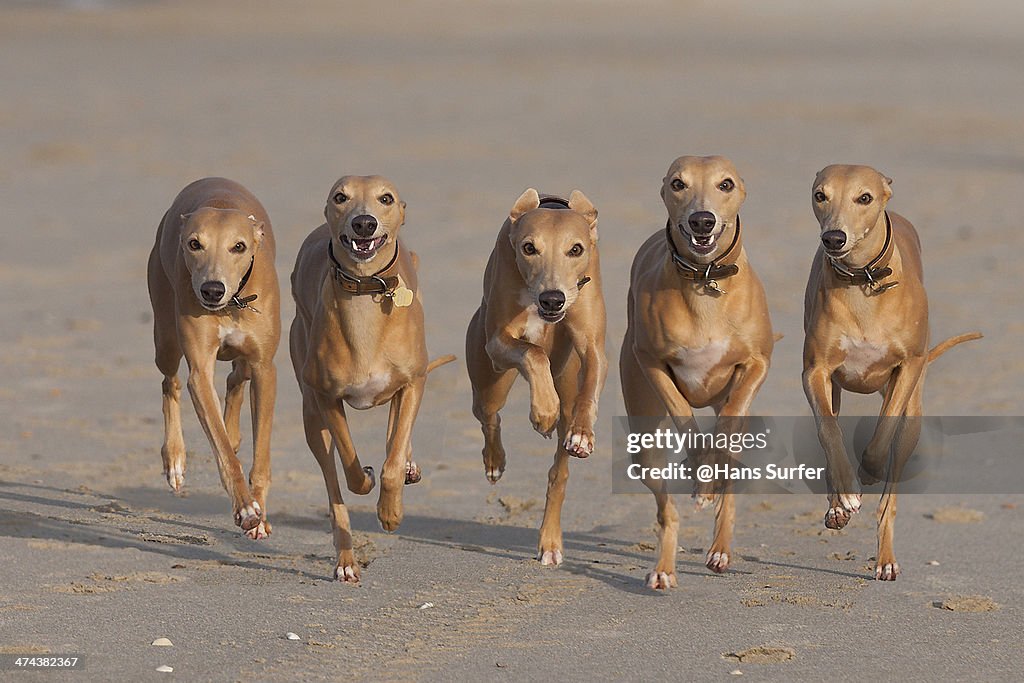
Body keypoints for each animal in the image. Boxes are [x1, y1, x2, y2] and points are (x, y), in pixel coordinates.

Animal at [146, 176, 278, 540]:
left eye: (239, 247)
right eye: (195, 244)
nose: (212, 290)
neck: (232, 305)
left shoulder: (265, 370)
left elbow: (260, 455)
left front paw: (260, 514)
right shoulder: (200, 374)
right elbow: (223, 451)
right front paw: (246, 509)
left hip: (246, 360)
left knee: (236, 377)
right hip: (165, 338)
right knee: (170, 382)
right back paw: (175, 459)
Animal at [286, 175, 450, 581]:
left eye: (385, 198)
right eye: (340, 197)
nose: (363, 223)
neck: (365, 292)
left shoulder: (413, 382)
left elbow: (393, 458)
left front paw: (390, 513)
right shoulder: (326, 398)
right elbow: (350, 464)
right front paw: (367, 478)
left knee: (396, 435)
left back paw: (407, 467)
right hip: (311, 414)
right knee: (334, 490)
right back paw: (346, 562)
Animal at [466, 187, 602, 565]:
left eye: (576, 249)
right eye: (529, 248)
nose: (553, 299)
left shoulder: (591, 343)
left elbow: (591, 381)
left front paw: (582, 434)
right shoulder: (498, 343)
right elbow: (533, 353)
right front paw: (542, 411)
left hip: (566, 381)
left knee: (559, 472)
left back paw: (550, 542)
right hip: (489, 381)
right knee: (489, 416)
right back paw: (495, 461)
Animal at [618, 154, 770, 589]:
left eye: (725, 184)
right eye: (678, 183)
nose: (702, 220)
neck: (704, 281)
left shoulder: (758, 362)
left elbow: (730, 418)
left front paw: (709, 472)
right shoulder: (650, 361)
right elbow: (683, 414)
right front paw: (699, 471)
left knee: (729, 475)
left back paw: (720, 549)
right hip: (645, 443)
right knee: (666, 511)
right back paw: (664, 570)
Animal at [802, 162, 978, 581]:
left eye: (864, 197)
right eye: (820, 195)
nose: (834, 238)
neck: (862, 282)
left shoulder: (908, 367)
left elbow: (883, 433)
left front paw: (868, 469)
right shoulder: (815, 371)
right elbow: (829, 433)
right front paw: (845, 494)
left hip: (913, 413)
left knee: (890, 495)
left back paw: (885, 559)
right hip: (834, 389)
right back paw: (838, 506)